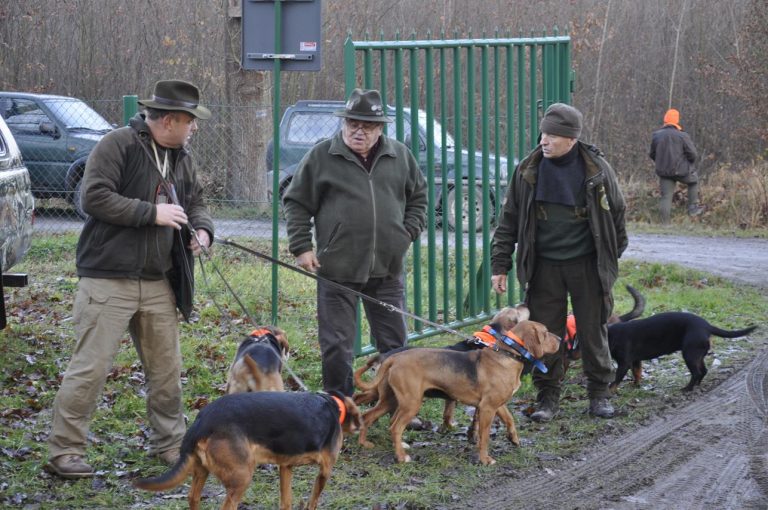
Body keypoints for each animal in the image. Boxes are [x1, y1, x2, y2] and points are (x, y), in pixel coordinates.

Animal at [132, 390, 364, 510]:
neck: (334, 405)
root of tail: (201, 422)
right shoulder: (325, 470)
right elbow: (314, 500)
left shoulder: (285, 467)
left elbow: (286, 500)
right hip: (242, 477)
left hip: (201, 471)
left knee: (193, 498)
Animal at [354, 322, 560, 466]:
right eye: (545, 333)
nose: (559, 338)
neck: (507, 354)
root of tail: (393, 358)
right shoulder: (487, 408)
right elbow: (484, 436)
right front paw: (484, 459)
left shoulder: (498, 404)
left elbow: (510, 420)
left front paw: (514, 439)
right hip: (410, 402)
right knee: (395, 427)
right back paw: (401, 457)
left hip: (389, 400)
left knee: (369, 416)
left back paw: (365, 444)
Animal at [608, 310, 760, 390]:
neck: (610, 335)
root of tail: (707, 326)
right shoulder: (635, 360)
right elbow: (637, 373)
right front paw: (635, 385)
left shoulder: (624, 363)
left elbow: (615, 380)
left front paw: (610, 391)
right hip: (697, 355)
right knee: (703, 371)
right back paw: (696, 386)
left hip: (689, 355)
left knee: (697, 373)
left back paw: (687, 389)